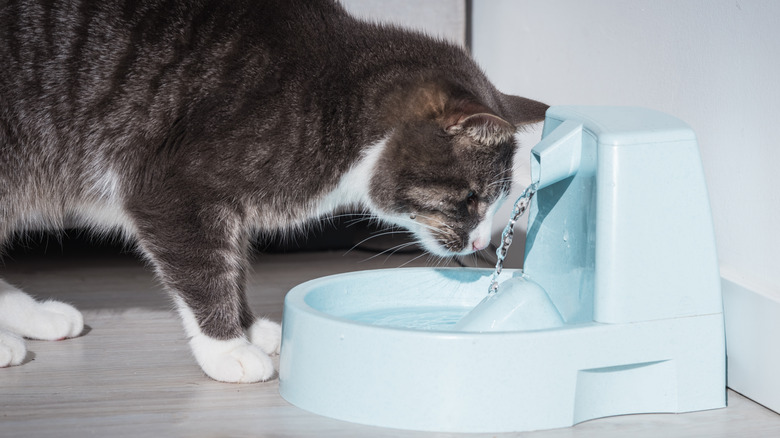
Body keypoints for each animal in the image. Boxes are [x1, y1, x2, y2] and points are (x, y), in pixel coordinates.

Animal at [0, 0, 548, 384]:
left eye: (495, 201)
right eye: (472, 198)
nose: (481, 243)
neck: (330, 99)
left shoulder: (231, 207)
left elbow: (234, 261)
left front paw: (251, 329)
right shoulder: (173, 188)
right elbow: (204, 269)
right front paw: (227, 349)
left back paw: (33, 318)